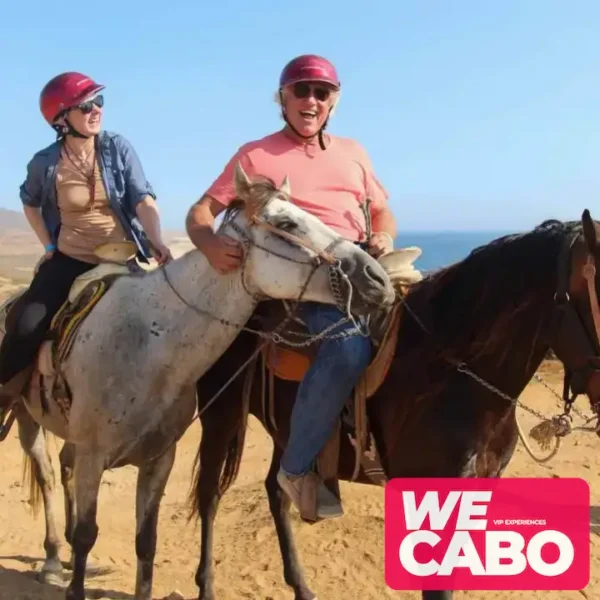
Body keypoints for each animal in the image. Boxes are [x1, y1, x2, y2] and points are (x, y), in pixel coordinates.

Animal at [0, 161, 394, 600]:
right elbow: (88, 534)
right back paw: (54, 558)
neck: (150, 342)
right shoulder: (93, 456)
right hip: (26, 418)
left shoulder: (158, 460)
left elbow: (146, 542)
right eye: (287, 223)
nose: (377, 278)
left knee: (61, 471)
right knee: (48, 477)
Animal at [190, 210, 600, 600]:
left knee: (277, 491)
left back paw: (301, 585)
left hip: (289, 431)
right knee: (210, 496)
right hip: (220, 415)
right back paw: (206, 585)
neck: (451, 369)